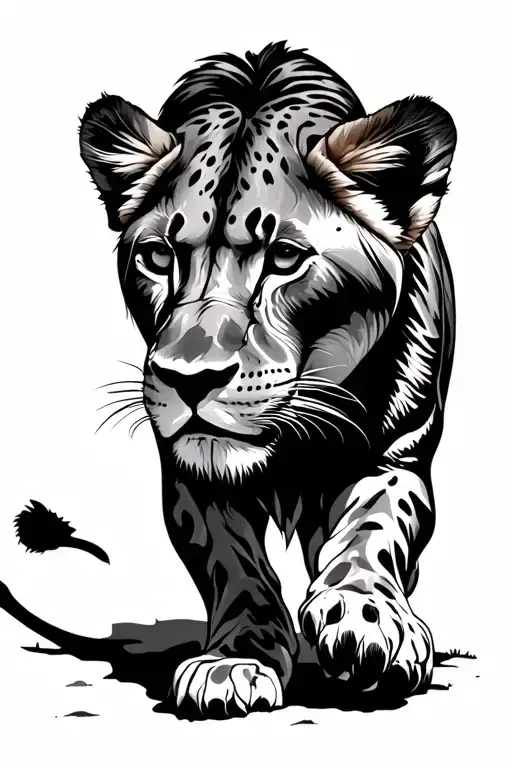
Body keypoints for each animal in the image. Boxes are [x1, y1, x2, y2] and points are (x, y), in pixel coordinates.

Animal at [78, 41, 457, 718]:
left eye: (284, 258)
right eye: (158, 256)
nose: (189, 380)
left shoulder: (398, 450)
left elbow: (373, 526)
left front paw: (363, 620)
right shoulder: (191, 470)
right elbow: (232, 563)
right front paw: (234, 661)